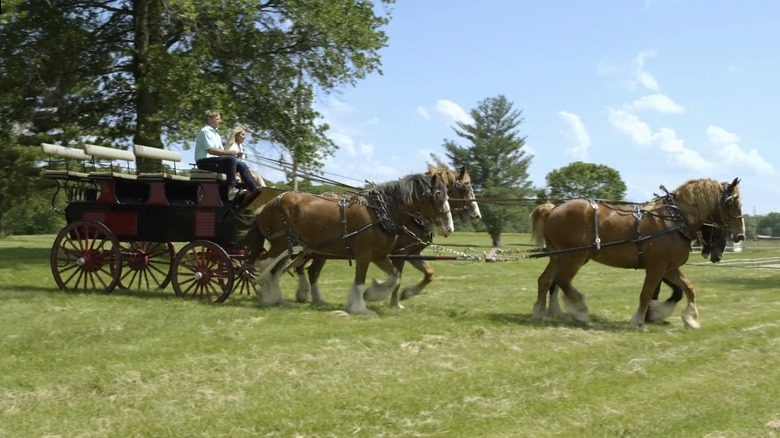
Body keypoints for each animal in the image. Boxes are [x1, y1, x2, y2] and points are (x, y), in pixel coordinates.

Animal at [242, 172, 450, 314]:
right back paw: (268, 295)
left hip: (291, 247)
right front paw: (359, 307)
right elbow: (359, 281)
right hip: (281, 244)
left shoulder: (380, 256)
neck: (380, 213)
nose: (448, 227)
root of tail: (267, 206)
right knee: (264, 264)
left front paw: (373, 293)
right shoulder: (364, 255)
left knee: (277, 270)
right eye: (437, 195)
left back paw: (280, 299)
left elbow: (394, 278)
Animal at [532, 177, 744, 328]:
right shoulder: (656, 268)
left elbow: (688, 288)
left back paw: (542, 312)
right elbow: (647, 293)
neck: (674, 220)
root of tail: (554, 208)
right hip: (574, 256)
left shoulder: (669, 268)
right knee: (561, 280)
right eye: (732, 203)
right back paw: (581, 310)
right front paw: (639, 320)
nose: (740, 235)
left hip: (560, 256)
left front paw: (690, 318)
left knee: (545, 280)